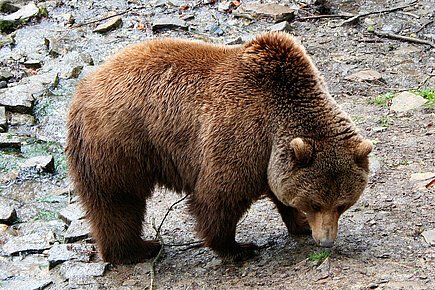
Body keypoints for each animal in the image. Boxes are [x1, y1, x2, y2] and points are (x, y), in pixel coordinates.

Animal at [66, 32, 372, 266]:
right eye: (316, 203)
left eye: (343, 204)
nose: (326, 241)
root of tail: (84, 85)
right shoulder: (241, 133)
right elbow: (220, 195)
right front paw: (238, 248)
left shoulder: (272, 157)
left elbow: (278, 189)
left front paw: (299, 223)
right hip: (120, 140)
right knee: (118, 200)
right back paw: (138, 249)